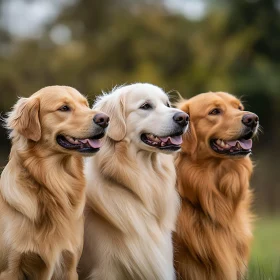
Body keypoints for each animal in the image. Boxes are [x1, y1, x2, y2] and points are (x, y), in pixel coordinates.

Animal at [0, 86, 108, 278]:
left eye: (85, 105)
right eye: (64, 108)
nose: (104, 119)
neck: (54, 183)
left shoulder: (69, 264)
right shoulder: (9, 269)